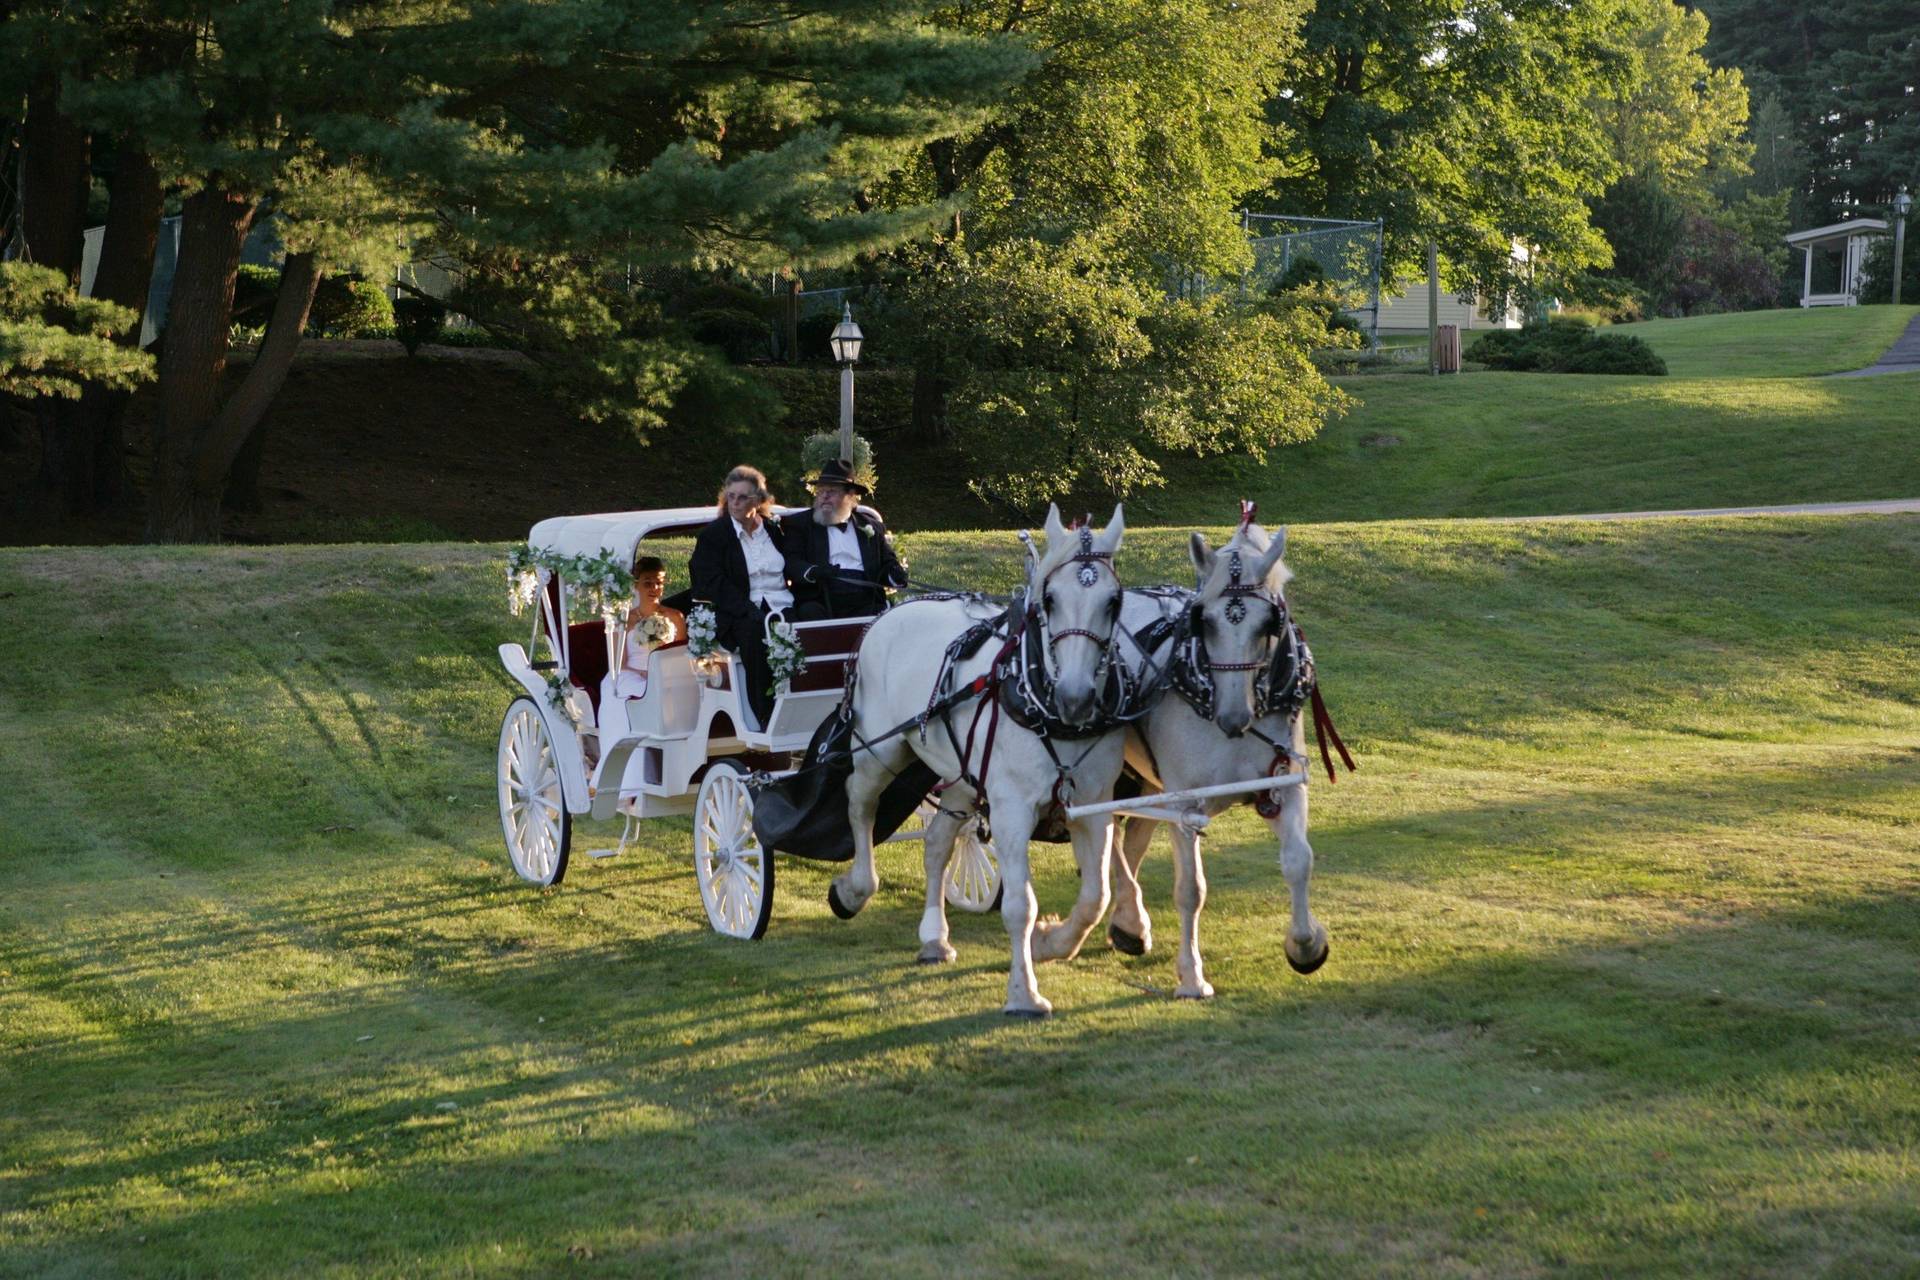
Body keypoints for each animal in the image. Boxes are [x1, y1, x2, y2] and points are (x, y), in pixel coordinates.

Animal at [833, 506, 1128, 1013]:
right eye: (1050, 599)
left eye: (1113, 602)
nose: (1075, 698)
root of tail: (889, 613)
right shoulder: (1011, 810)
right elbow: (1020, 906)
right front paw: (1024, 992)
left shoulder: (1093, 804)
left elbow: (1096, 895)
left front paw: (1053, 942)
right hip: (880, 751)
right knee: (860, 803)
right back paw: (856, 889)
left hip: (962, 775)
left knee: (937, 842)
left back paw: (934, 937)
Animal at [1105, 521, 1328, 997]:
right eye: (1203, 620)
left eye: (1269, 623)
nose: (1233, 717)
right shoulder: (1186, 804)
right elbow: (1191, 888)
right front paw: (1191, 975)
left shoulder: (1283, 785)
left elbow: (1298, 861)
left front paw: (1305, 945)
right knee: (1104, 831)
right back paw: (1130, 917)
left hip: (1150, 778)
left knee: (1132, 838)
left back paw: (1125, 921)